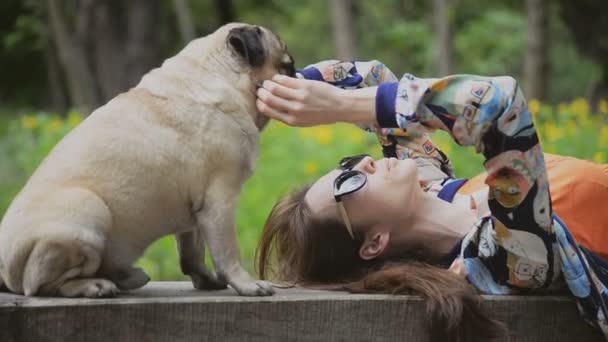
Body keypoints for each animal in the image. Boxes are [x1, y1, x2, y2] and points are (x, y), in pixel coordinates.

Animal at [0, 23, 294, 296]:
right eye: (286, 64)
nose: (295, 72)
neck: (218, 74)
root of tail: (4, 267)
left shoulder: (195, 211)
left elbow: (192, 255)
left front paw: (207, 281)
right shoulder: (219, 202)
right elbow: (228, 252)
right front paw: (246, 284)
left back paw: (129, 276)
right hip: (88, 207)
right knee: (44, 285)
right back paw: (95, 285)